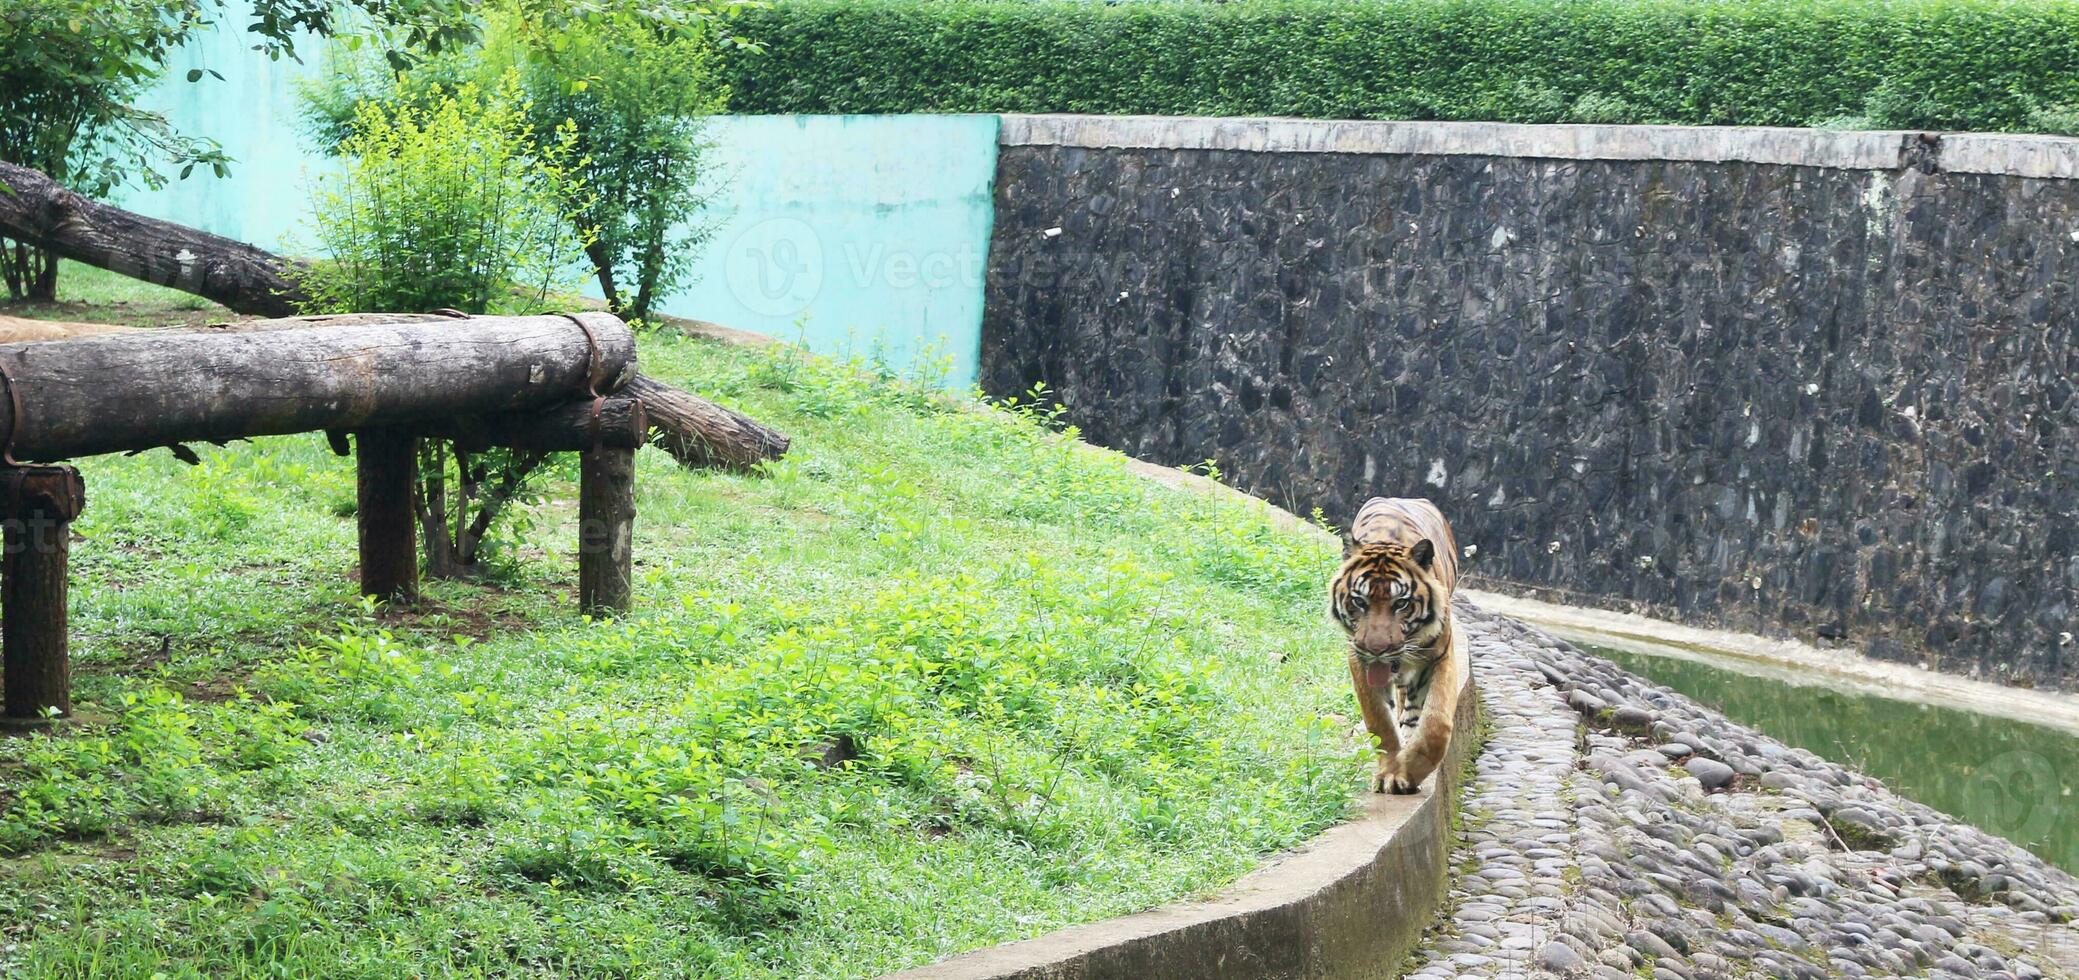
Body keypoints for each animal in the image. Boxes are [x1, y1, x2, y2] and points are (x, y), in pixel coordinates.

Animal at [1330, 499, 1463, 798]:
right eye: (1359, 601)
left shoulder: (1442, 656)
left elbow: (1435, 723)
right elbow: (1380, 722)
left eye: (1401, 603)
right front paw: (1390, 773)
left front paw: (1409, 773)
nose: (1377, 649)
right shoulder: (1358, 659)